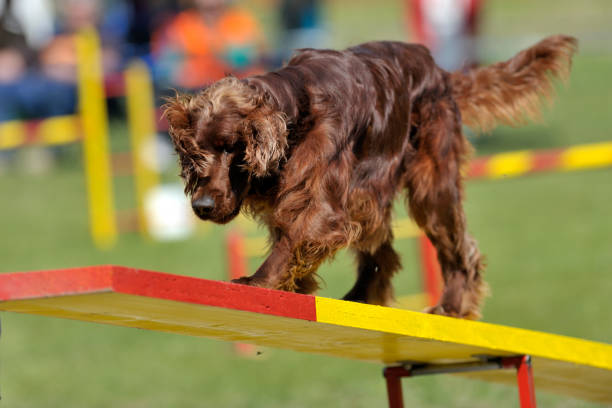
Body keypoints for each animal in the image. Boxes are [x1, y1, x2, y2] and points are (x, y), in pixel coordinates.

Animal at [165, 35, 576, 318]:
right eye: (196, 152)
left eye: (232, 147)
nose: (201, 206)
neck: (298, 109)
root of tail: (439, 70)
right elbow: (291, 238)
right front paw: (294, 285)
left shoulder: (323, 204)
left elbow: (293, 239)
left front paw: (258, 283)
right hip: (370, 197)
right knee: (383, 251)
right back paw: (360, 298)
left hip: (431, 187)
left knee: (460, 250)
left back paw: (450, 306)